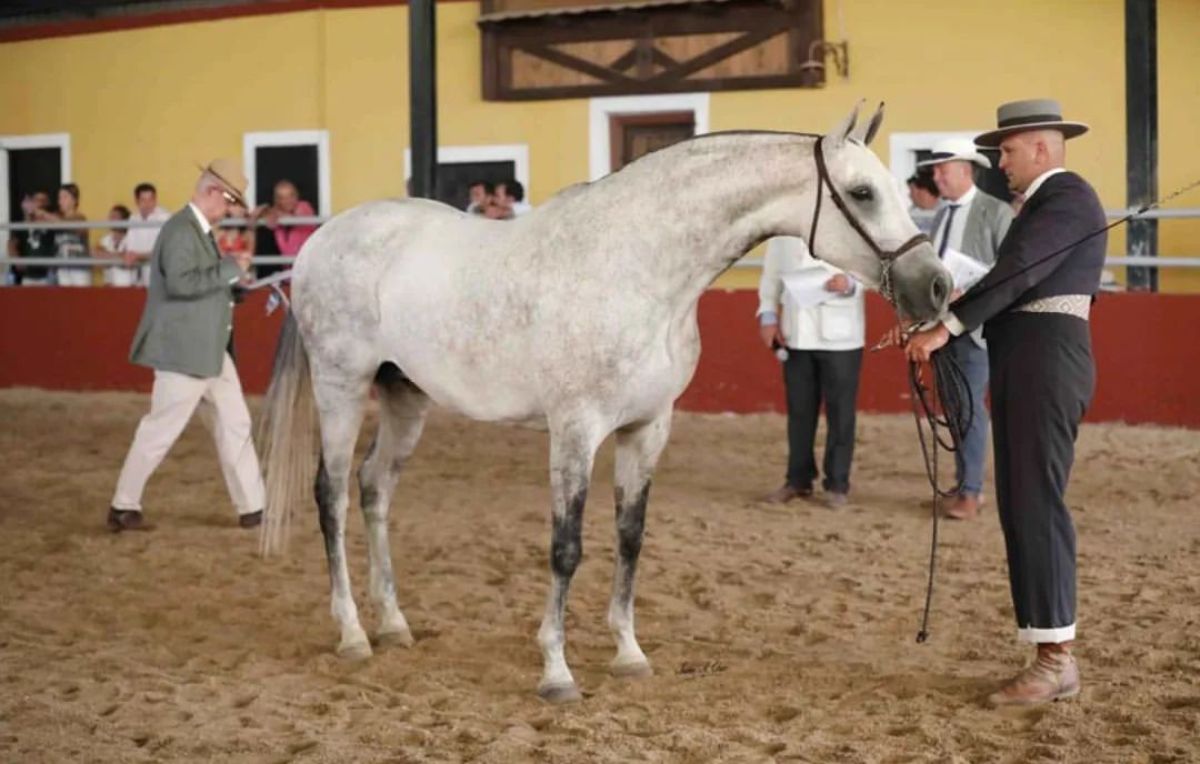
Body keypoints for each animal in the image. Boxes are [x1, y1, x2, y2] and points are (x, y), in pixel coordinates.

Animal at [260, 104, 945, 700]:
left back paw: (394, 625)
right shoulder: (576, 429)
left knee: (374, 489)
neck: (638, 271)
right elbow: (566, 547)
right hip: (342, 387)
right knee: (331, 495)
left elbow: (629, 537)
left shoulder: (648, 428)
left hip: (405, 396)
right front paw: (556, 671)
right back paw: (353, 634)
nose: (937, 287)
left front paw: (628, 653)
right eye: (862, 192)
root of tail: (322, 240)